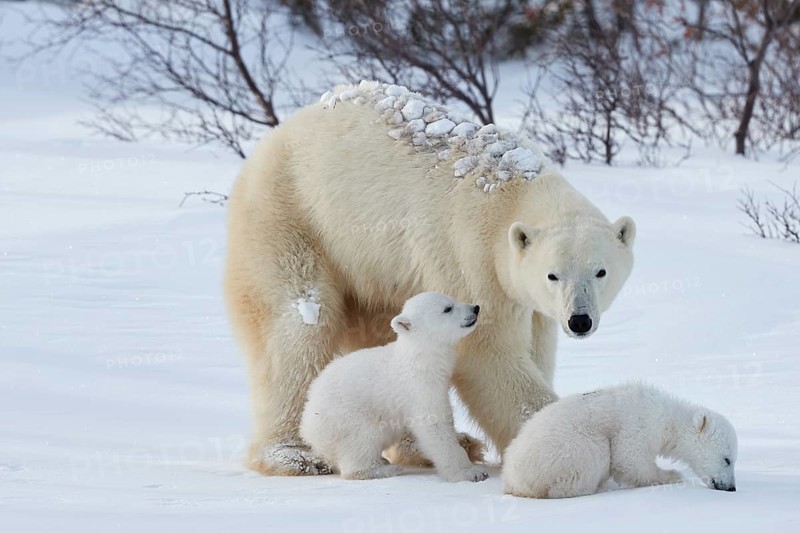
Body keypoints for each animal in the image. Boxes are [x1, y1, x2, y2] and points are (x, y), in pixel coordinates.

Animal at [300, 292, 489, 482]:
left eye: (453, 299)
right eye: (447, 308)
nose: (475, 308)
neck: (419, 357)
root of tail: (307, 428)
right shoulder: (418, 386)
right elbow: (433, 424)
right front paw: (471, 472)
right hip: (345, 417)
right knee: (362, 440)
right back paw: (384, 469)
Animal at [502, 383, 738, 498]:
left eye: (733, 460)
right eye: (727, 459)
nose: (731, 488)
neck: (667, 419)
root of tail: (512, 479)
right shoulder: (639, 422)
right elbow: (628, 458)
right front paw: (673, 474)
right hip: (564, 449)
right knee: (593, 455)